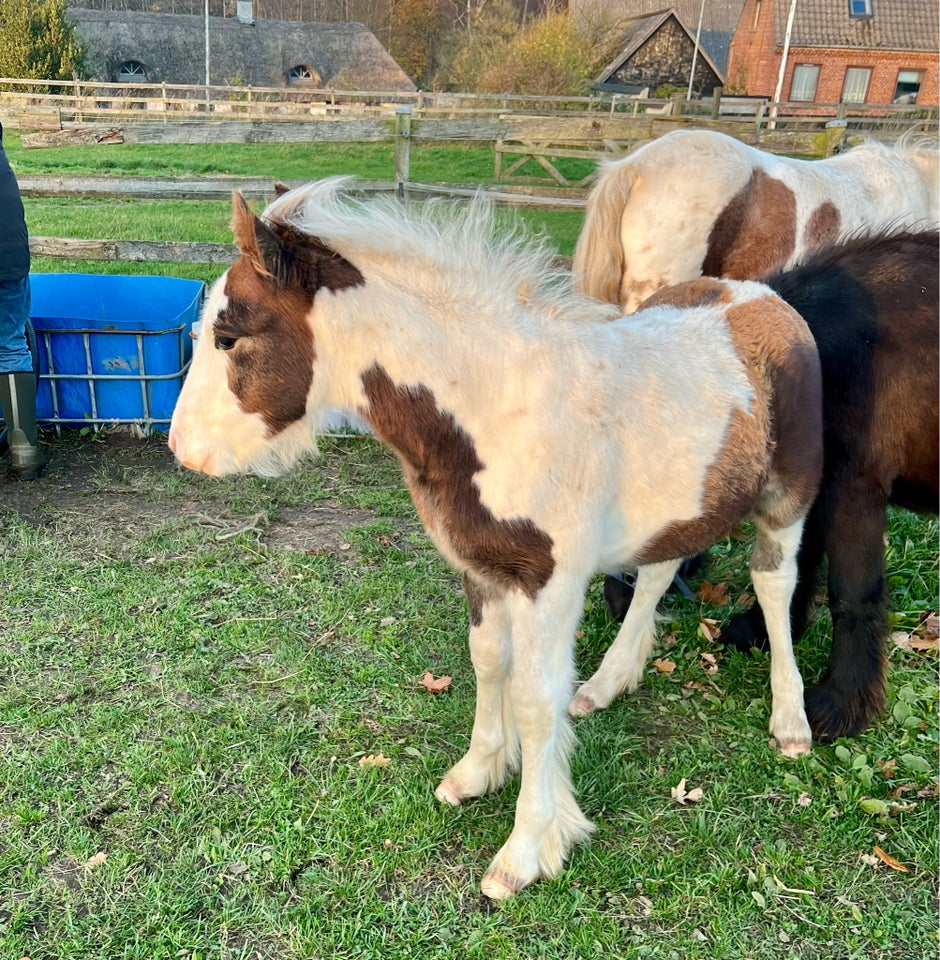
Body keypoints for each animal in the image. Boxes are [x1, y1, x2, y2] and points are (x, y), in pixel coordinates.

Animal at [169, 180, 824, 900]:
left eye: (228, 336)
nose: (183, 449)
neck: (495, 407)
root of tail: (757, 295)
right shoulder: (481, 567)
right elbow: (488, 662)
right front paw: (478, 771)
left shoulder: (550, 582)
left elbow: (537, 702)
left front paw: (527, 849)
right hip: (684, 498)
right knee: (658, 569)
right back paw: (609, 682)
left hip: (787, 494)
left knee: (774, 583)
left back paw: (791, 720)